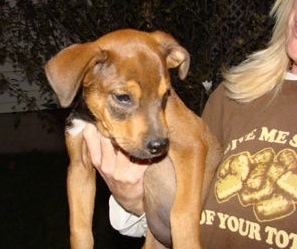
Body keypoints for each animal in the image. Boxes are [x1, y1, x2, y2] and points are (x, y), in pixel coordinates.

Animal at [43, 29, 220, 249]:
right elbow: (79, 228)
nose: (160, 146)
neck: (99, 126)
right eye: (123, 97)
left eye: (166, 95)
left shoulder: (192, 143)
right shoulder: (79, 168)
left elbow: (182, 212)